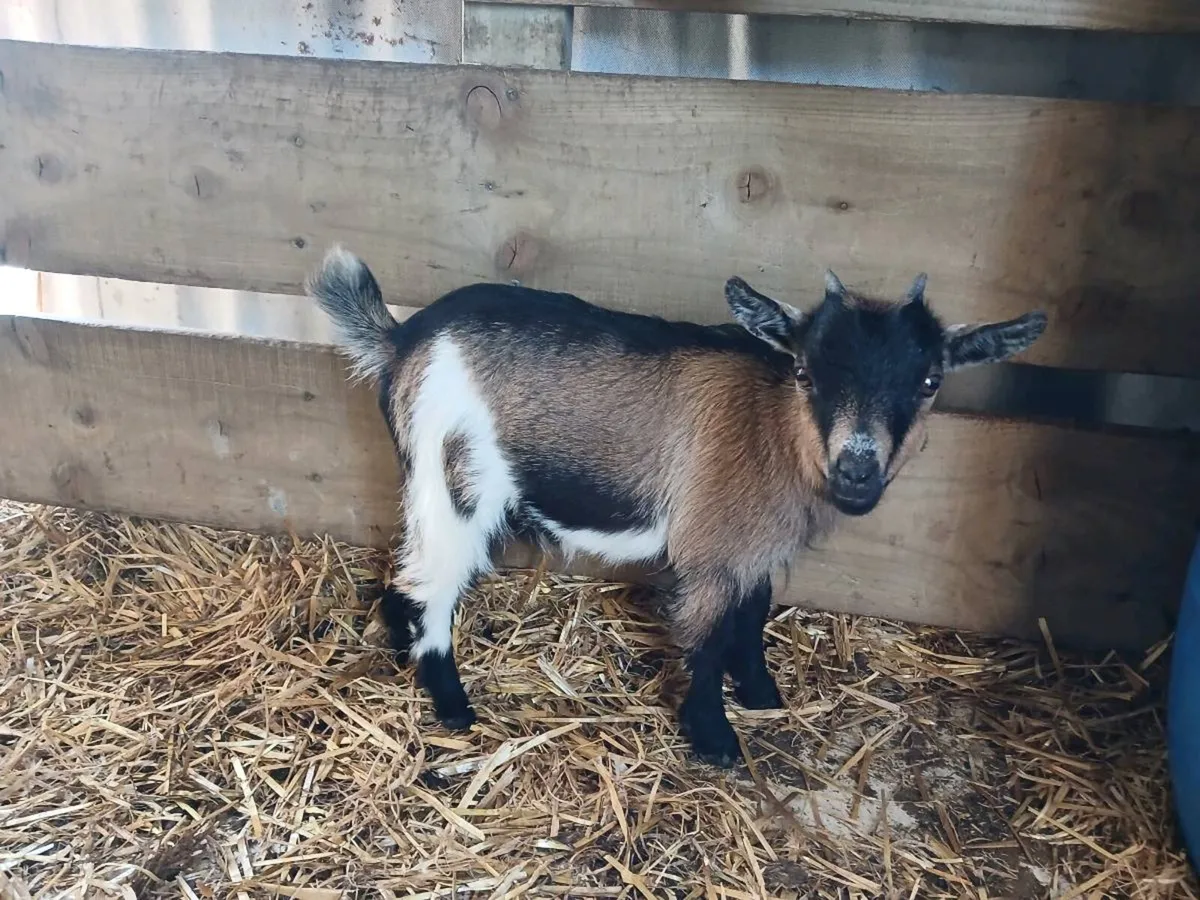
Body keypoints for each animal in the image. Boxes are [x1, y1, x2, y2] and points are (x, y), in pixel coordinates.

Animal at [306, 247, 1047, 767]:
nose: (857, 468)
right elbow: (710, 639)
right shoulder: (712, 551)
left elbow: (754, 614)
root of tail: (403, 342)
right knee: (429, 583)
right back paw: (453, 704)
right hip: (454, 478)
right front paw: (715, 739)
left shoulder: (752, 546)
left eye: (929, 382)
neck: (771, 426)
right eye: (805, 372)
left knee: (404, 576)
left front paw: (762, 693)